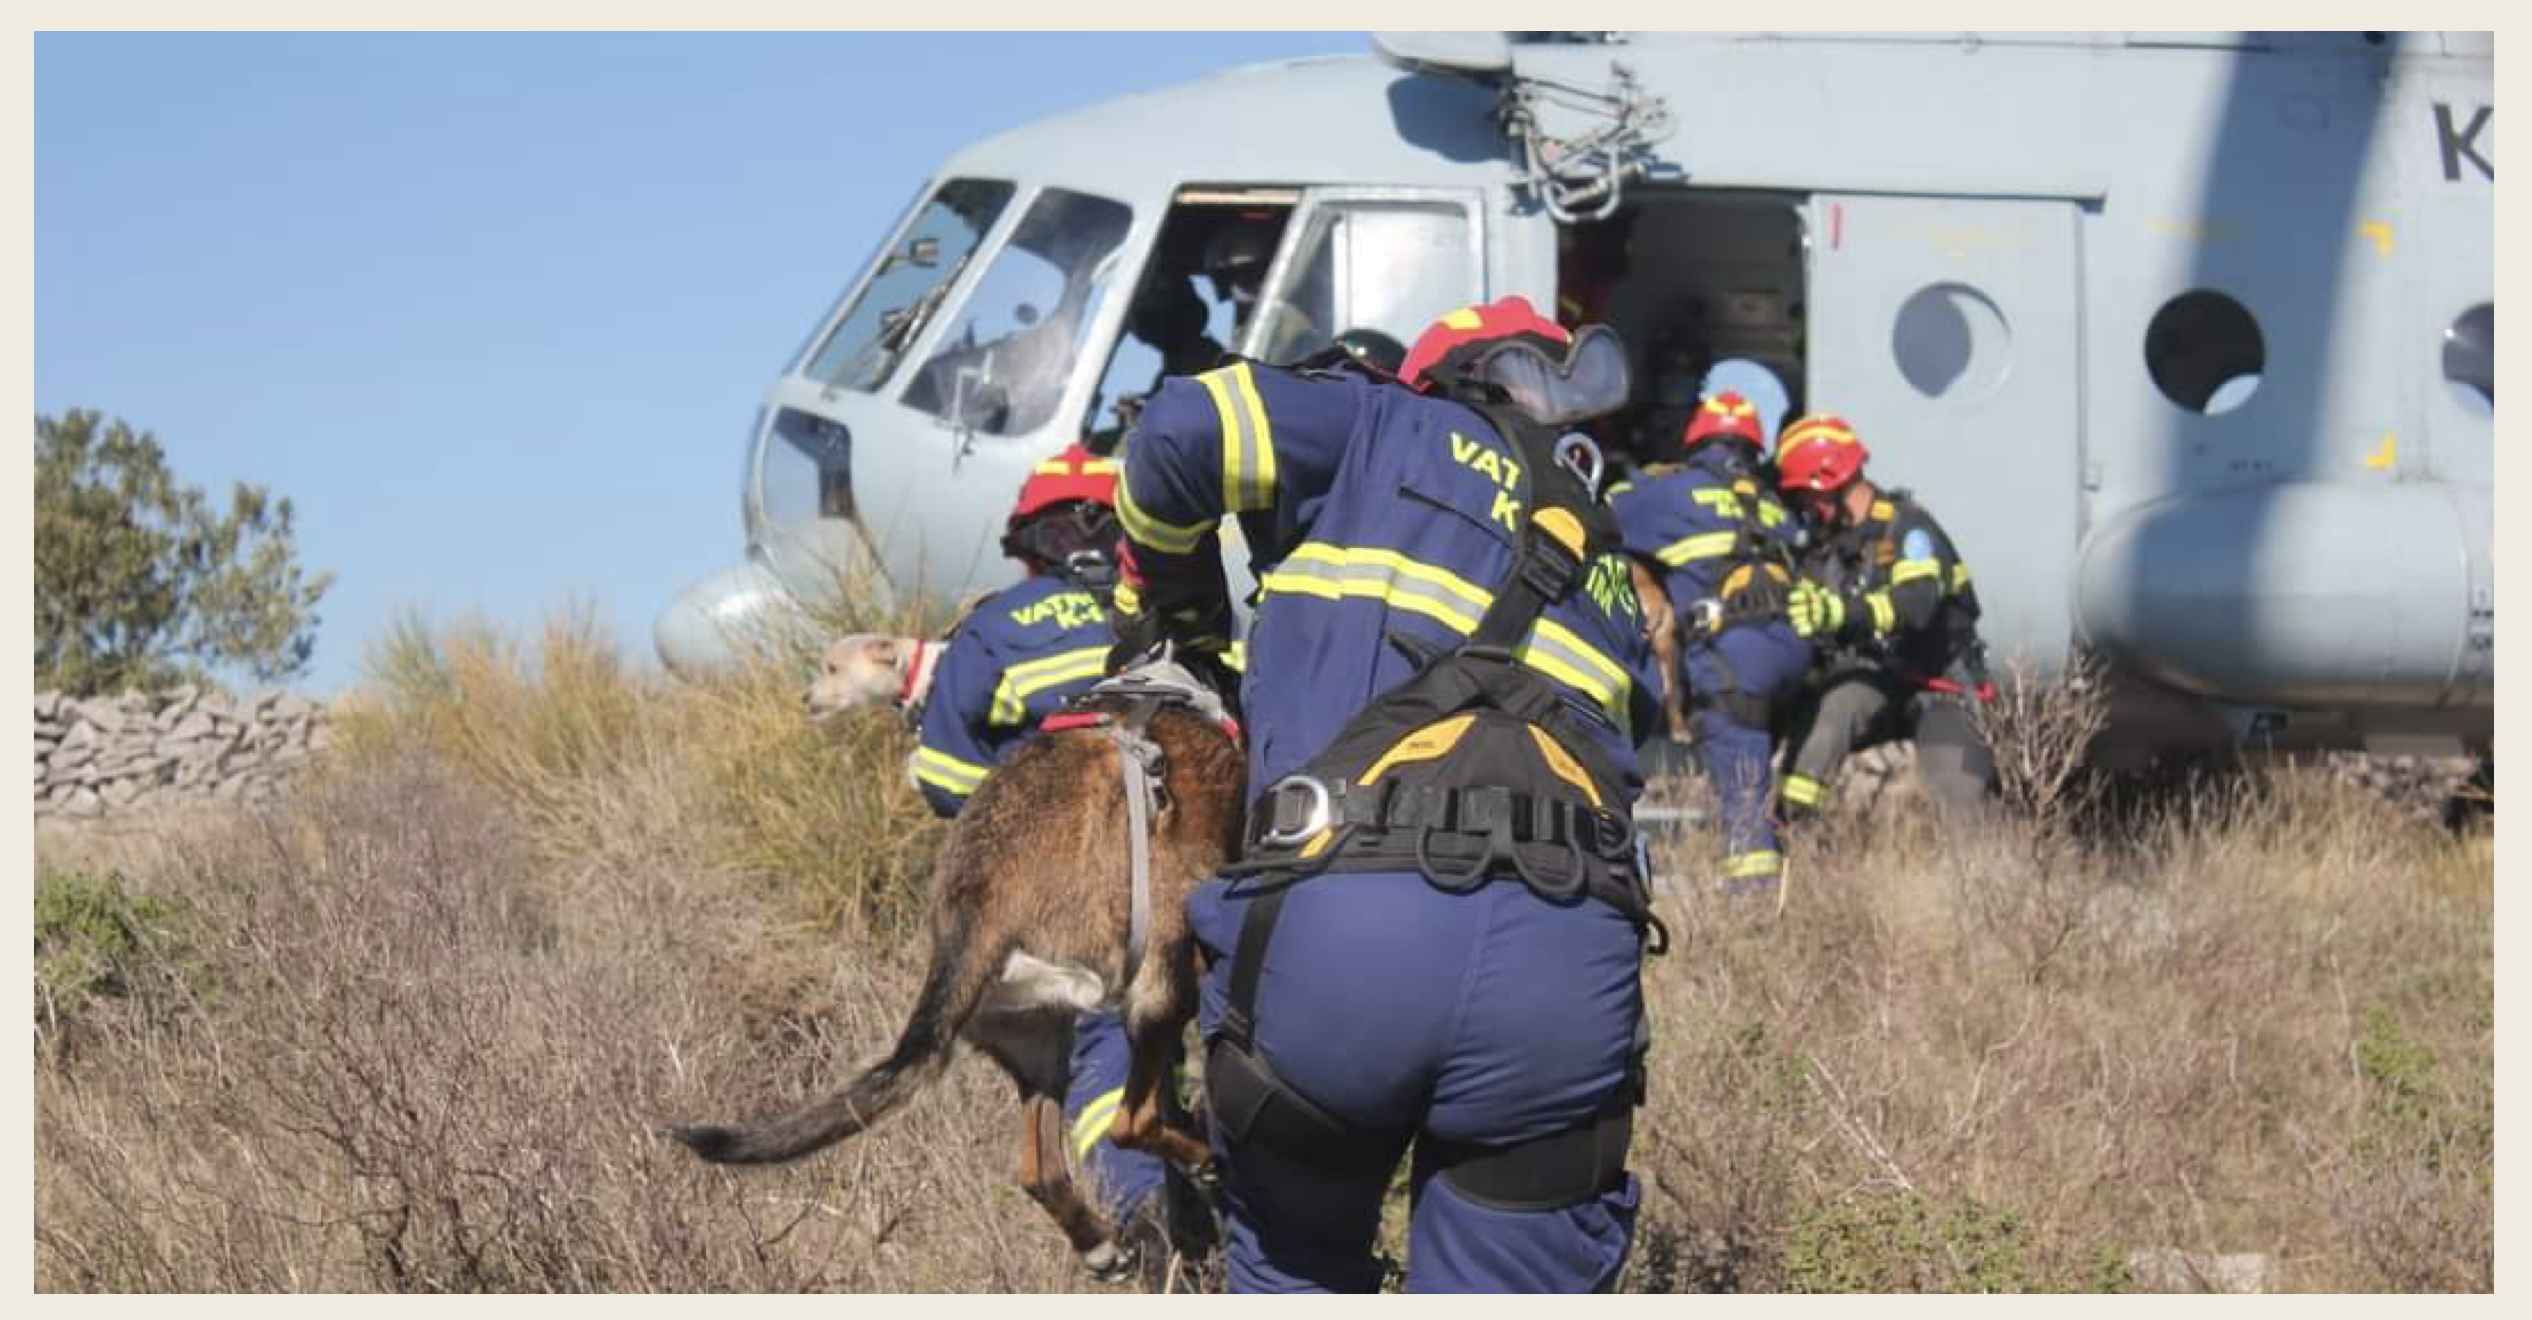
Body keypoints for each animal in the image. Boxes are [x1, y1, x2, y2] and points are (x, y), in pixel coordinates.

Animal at [678, 638, 1240, 1276]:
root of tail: (973, 911)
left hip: (1040, 1041)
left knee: (1037, 1168)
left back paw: (1098, 1240)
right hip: (1154, 979)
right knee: (1129, 1120)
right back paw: (1202, 1159)